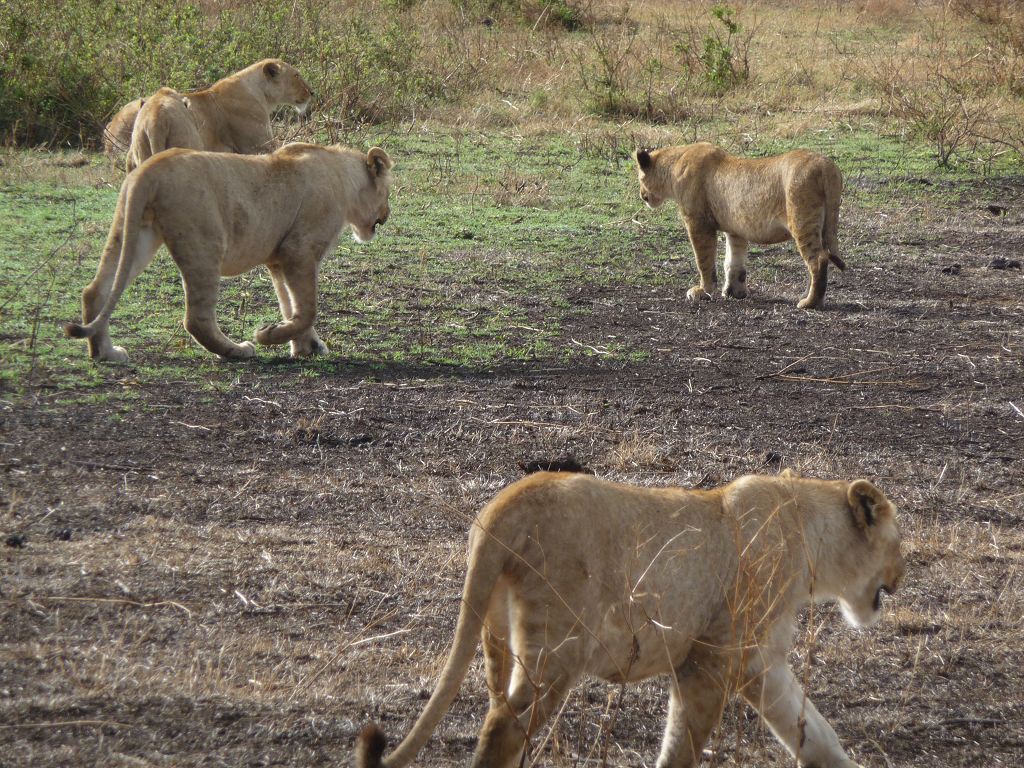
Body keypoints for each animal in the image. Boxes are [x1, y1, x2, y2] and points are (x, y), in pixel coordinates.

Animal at [64, 143, 391, 364]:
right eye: (387, 192)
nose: (387, 216)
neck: (343, 177)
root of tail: (149, 167)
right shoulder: (298, 251)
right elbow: (307, 308)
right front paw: (268, 336)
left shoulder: (278, 259)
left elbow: (292, 306)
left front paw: (305, 347)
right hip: (205, 243)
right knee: (196, 318)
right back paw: (237, 350)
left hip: (134, 231)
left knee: (95, 290)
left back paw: (106, 353)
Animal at [123, 60, 309, 174]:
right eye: (296, 75)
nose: (311, 92)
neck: (261, 93)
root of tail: (155, 118)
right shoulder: (259, 146)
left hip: (136, 154)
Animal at [356, 468, 901, 768]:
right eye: (898, 543)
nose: (902, 576)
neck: (808, 534)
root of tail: (501, 507)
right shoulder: (709, 658)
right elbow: (684, 742)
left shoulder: (759, 663)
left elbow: (814, 732)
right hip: (557, 646)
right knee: (503, 729)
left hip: (501, 637)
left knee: (503, 720)